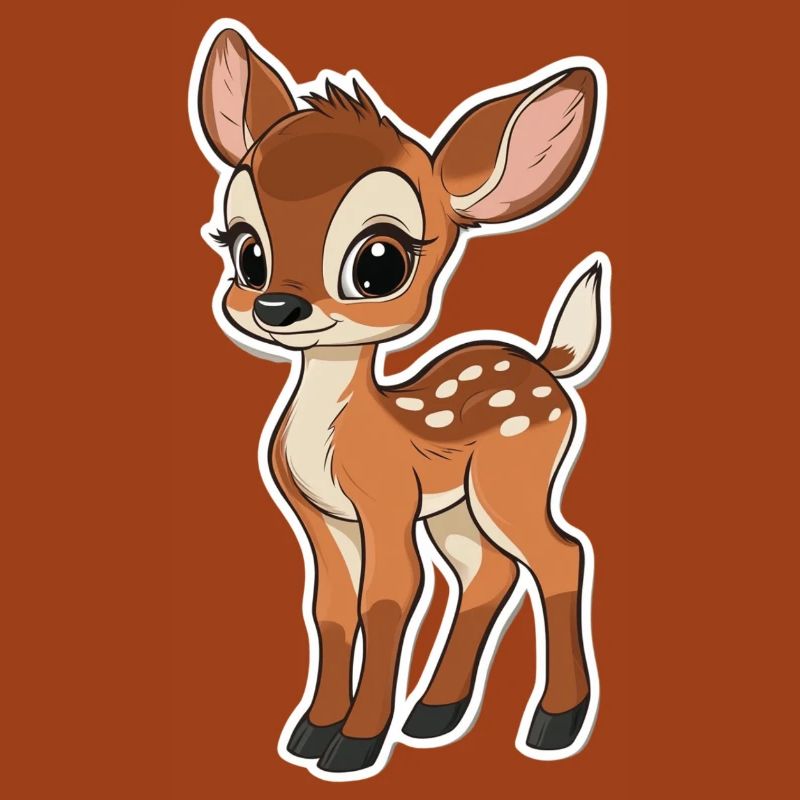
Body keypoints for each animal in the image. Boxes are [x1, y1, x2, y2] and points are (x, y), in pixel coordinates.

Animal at [191, 22, 609, 779]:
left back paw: (554, 724)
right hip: (455, 507)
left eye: (379, 261)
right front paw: (311, 732)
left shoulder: (385, 501)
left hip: (514, 478)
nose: (276, 306)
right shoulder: (320, 515)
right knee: (487, 571)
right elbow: (329, 608)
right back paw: (435, 713)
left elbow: (387, 601)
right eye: (246, 249)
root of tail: (547, 363)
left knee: (560, 556)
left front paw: (354, 745)